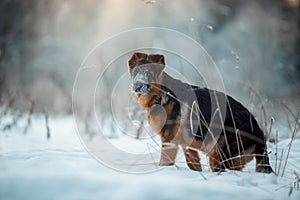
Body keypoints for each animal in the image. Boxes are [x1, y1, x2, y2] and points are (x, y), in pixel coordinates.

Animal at [127, 52, 274, 173]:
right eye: (136, 72)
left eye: (149, 73)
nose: (138, 85)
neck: (160, 93)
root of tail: (259, 132)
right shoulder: (187, 146)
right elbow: (194, 164)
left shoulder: (168, 140)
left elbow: (164, 162)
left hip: (219, 156)